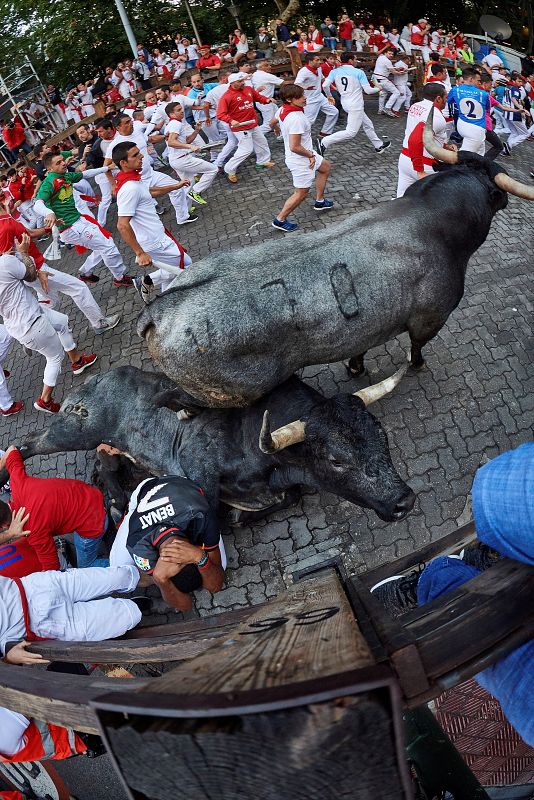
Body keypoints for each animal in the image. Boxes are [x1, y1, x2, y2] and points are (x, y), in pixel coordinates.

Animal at [12, 364, 416, 524]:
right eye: (336, 459)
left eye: (382, 438)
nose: (404, 501)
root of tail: (92, 381)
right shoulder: (197, 468)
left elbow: (288, 497)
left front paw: (244, 511)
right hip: (74, 431)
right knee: (30, 442)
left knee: (103, 465)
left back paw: (115, 498)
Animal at [139, 114, 534, 406]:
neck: (432, 219)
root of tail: (158, 310)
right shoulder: (431, 318)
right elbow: (417, 347)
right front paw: (416, 365)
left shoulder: (369, 325)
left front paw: (356, 368)